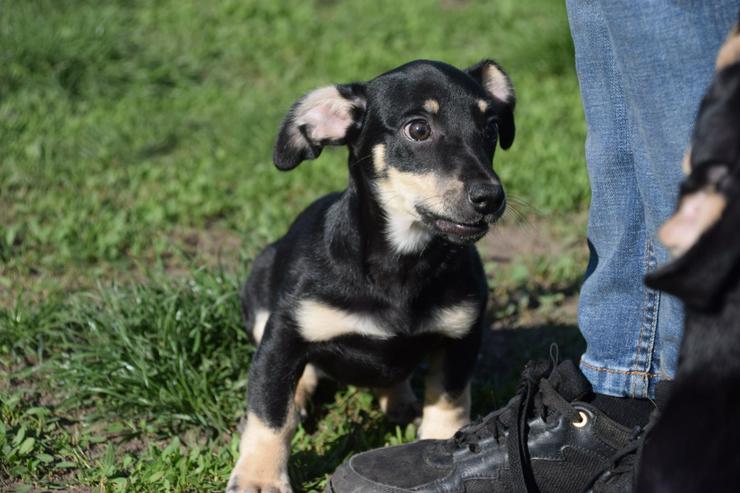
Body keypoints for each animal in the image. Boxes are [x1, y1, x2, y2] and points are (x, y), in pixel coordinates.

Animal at [225, 58, 516, 492]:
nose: (490, 198)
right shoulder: (284, 336)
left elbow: (449, 403)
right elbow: (270, 415)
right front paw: (258, 479)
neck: (401, 264)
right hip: (261, 288)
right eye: (418, 129)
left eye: (492, 128)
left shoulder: (461, 335)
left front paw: (438, 447)